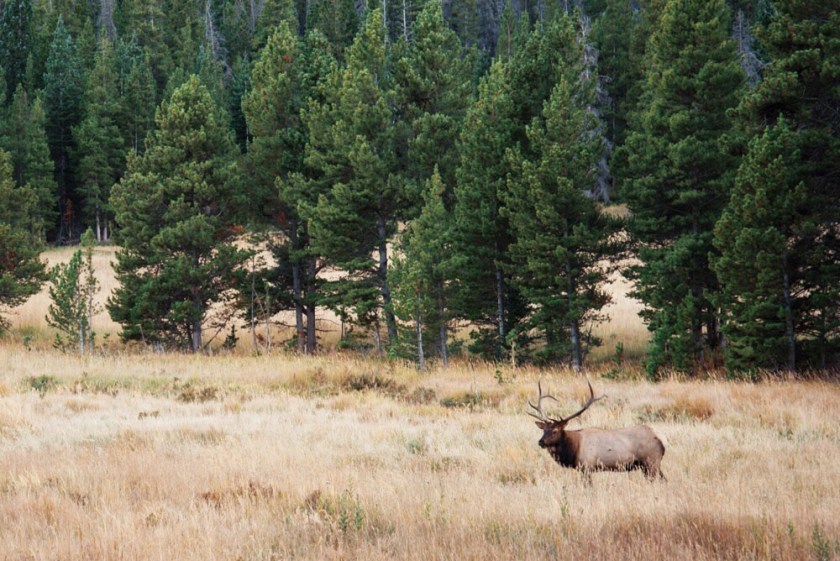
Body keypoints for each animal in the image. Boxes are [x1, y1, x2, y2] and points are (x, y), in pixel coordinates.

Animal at [528, 382, 668, 480]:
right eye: (544, 430)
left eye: (555, 431)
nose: (541, 442)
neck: (573, 449)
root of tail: (661, 442)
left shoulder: (586, 467)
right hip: (648, 465)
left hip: (651, 462)